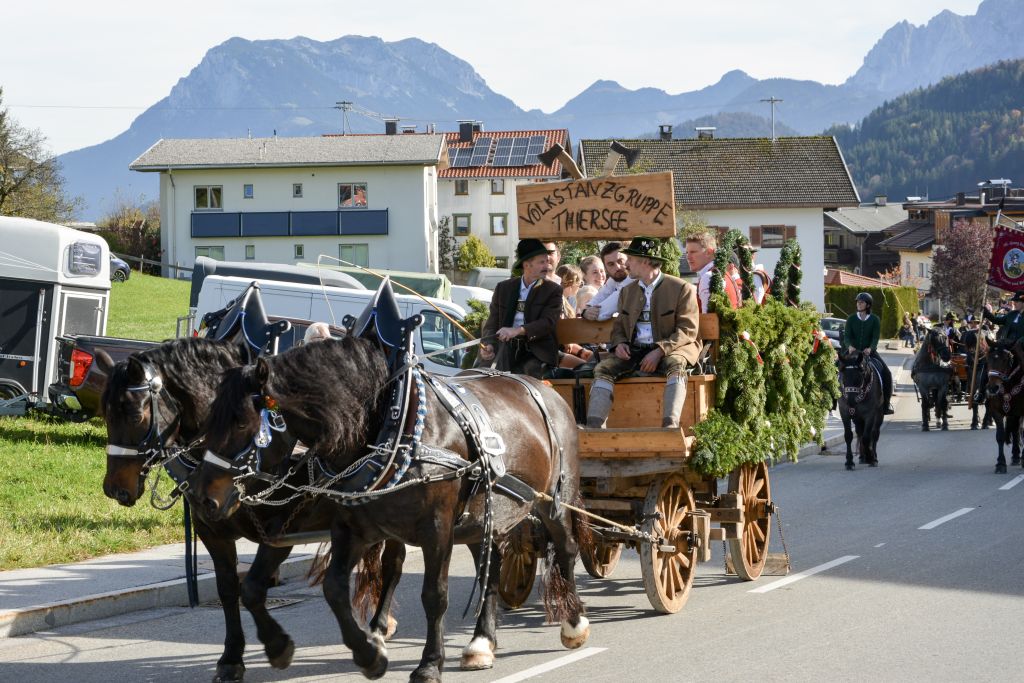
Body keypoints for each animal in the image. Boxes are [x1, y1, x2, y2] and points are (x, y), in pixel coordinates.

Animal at [97, 338, 355, 683]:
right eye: (105, 415)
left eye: (135, 415)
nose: (114, 488)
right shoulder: (212, 532)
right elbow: (229, 590)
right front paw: (232, 657)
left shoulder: (281, 532)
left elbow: (252, 589)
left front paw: (277, 646)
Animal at [199, 334, 591, 682]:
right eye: (208, 419)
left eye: (240, 421)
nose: (204, 498)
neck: (388, 428)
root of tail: (543, 388)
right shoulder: (352, 529)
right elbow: (333, 589)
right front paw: (367, 654)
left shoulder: (437, 529)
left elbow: (434, 596)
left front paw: (429, 664)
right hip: (483, 516)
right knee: (491, 567)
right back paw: (481, 643)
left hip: (555, 500)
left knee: (567, 548)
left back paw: (574, 623)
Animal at [983, 345, 1024, 473]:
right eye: (988, 358)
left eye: (1006, 359)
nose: (992, 388)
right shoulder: (996, 411)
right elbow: (1000, 436)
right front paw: (1000, 464)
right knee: (1015, 431)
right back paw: (1015, 456)